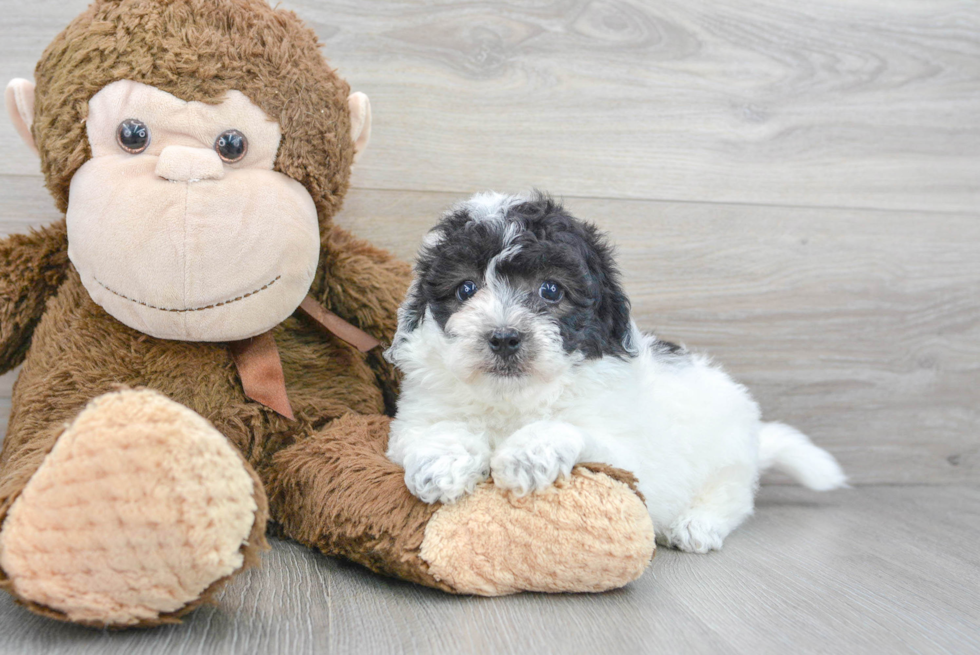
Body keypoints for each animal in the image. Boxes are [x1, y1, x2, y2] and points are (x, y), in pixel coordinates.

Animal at [386, 191, 848, 552]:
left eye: (550, 290)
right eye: (465, 289)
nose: (503, 337)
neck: (514, 398)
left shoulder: (628, 452)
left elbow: (573, 430)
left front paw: (528, 455)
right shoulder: (414, 419)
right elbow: (439, 429)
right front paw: (441, 462)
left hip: (728, 460)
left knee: (732, 499)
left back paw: (697, 525)